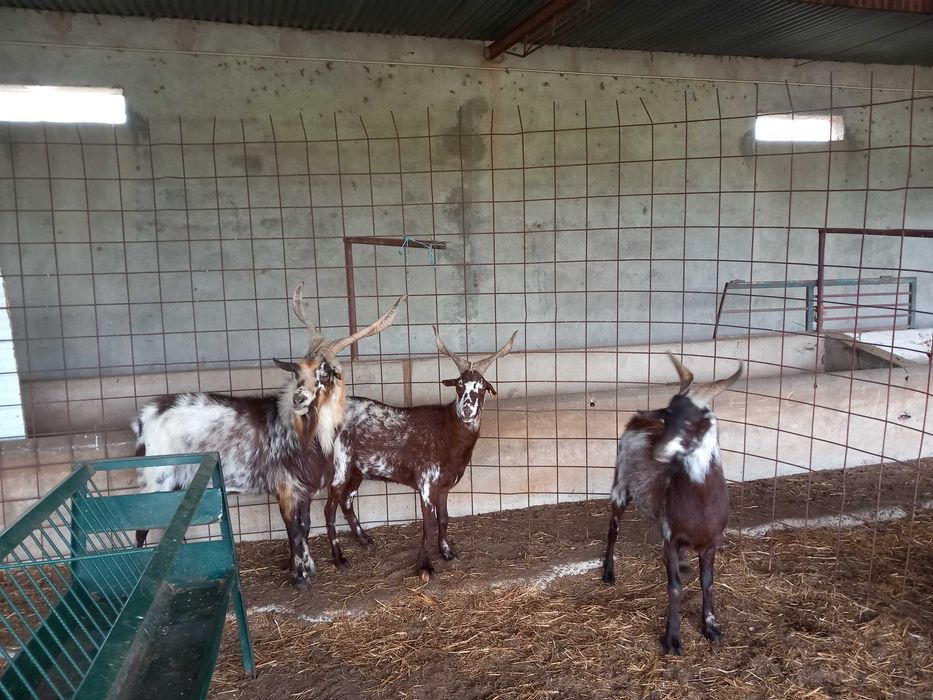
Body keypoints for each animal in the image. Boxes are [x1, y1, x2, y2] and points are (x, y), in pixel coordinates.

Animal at [132, 283, 405, 590]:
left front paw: (300, 566)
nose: (298, 399)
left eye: (324, 373)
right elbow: (294, 529)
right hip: (157, 479)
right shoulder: (284, 486)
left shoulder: (305, 489)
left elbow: (305, 526)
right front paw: (300, 576)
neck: (306, 436)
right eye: (298, 371)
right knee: (141, 528)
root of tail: (145, 418)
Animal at [325, 327, 518, 581]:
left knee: (346, 500)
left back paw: (365, 541)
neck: (446, 433)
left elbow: (443, 519)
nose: (467, 409)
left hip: (357, 469)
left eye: (482, 386)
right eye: (458, 385)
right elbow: (429, 524)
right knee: (329, 509)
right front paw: (425, 566)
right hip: (339, 465)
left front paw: (447, 552)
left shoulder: (444, 485)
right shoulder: (425, 482)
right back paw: (339, 559)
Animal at [602, 353, 742, 654]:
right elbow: (674, 586)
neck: (701, 504)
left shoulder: (713, 541)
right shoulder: (670, 536)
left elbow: (707, 582)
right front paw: (673, 639)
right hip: (620, 485)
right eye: (667, 416)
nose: (658, 452)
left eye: (694, 422)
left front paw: (711, 628)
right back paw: (608, 573)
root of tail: (637, 419)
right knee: (613, 528)